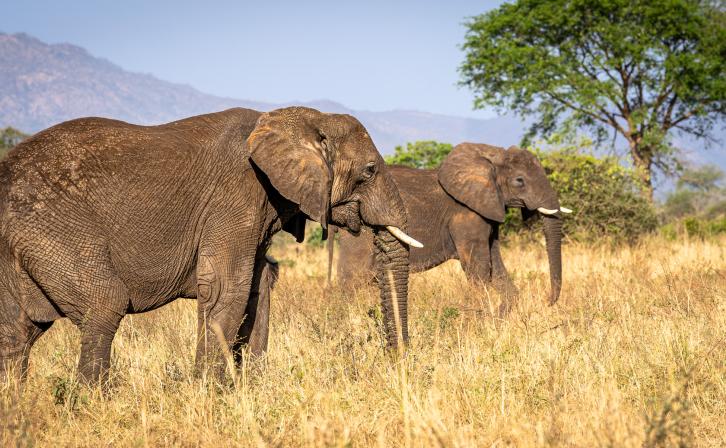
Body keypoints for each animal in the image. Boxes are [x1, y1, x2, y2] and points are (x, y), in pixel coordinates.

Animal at [0, 106, 422, 384]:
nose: (397, 365)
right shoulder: (236, 196)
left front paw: (248, 387)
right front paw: (212, 392)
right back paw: (93, 404)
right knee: (103, 304)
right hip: (50, 228)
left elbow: (259, 283)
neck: (300, 116)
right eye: (369, 171)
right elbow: (226, 288)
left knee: (17, 333)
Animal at [329, 143, 569, 316]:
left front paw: (498, 319)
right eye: (519, 181)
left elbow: (496, 268)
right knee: (353, 277)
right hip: (359, 231)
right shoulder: (466, 215)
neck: (490, 155)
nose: (548, 301)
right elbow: (479, 270)